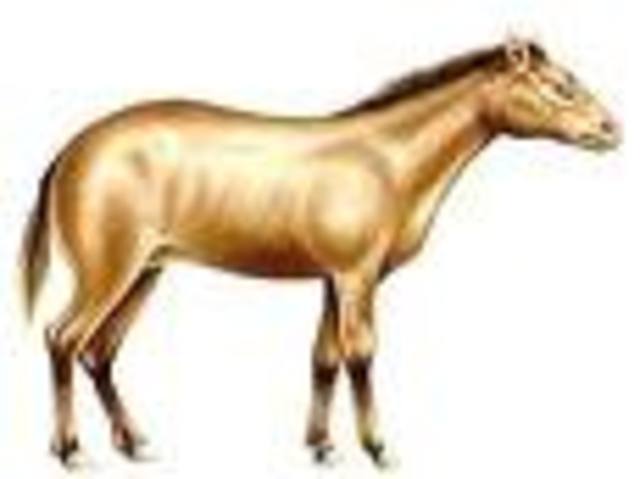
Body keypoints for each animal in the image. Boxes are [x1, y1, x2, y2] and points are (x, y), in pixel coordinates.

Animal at [19, 37, 620, 468]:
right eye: (559, 86)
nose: (611, 129)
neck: (387, 159)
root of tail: (72, 151)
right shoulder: (357, 277)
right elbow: (361, 353)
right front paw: (379, 448)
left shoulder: (335, 279)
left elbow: (324, 357)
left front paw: (322, 446)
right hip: (108, 272)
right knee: (63, 339)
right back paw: (71, 451)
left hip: (145, 272)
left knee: (100, 352)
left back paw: (135, 443)